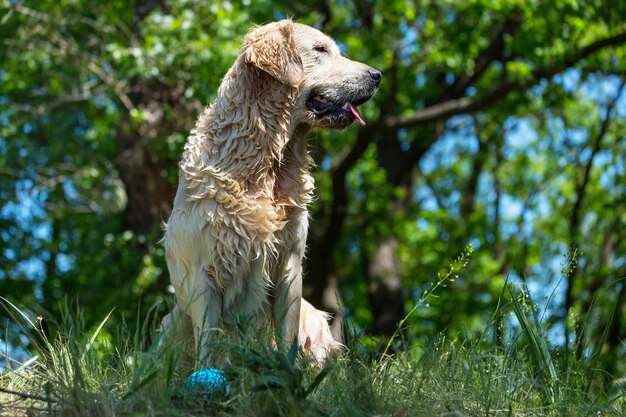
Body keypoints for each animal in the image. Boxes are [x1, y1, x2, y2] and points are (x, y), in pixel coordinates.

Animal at [163, 18, 378, 364]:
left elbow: (287, 336)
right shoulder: (203, 274)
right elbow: (209, 343)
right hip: (171, 323)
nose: (377, 75)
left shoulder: (290, 263)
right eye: (320, 49)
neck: (266, 165)